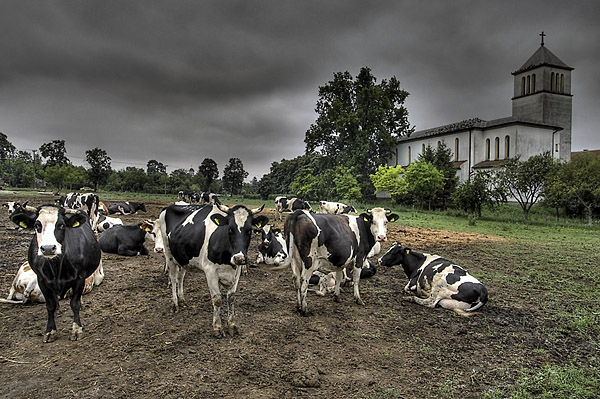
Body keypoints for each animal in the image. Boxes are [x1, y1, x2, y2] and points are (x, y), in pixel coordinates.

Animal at [9, 205, 102, 342]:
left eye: (61, 225)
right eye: (37, 225)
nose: (48, 248)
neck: (57, 266)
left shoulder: (79, 278)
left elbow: (74, 304)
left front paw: (76, 330)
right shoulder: (42, 280)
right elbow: (50, 306)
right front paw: (50, 331)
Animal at [159, 203, 268, 338]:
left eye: (249, 230)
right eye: (230, 229)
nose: (239, 258)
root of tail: (171, 205)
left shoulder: (236, 272)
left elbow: (231, 298)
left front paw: (232, 326)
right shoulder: (210, 271)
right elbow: (217, 300)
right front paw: (217, 327)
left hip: (183, 258)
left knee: (181, 277)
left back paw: (182, 300)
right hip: (169, 254)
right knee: (173, 278)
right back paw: (175, 304)